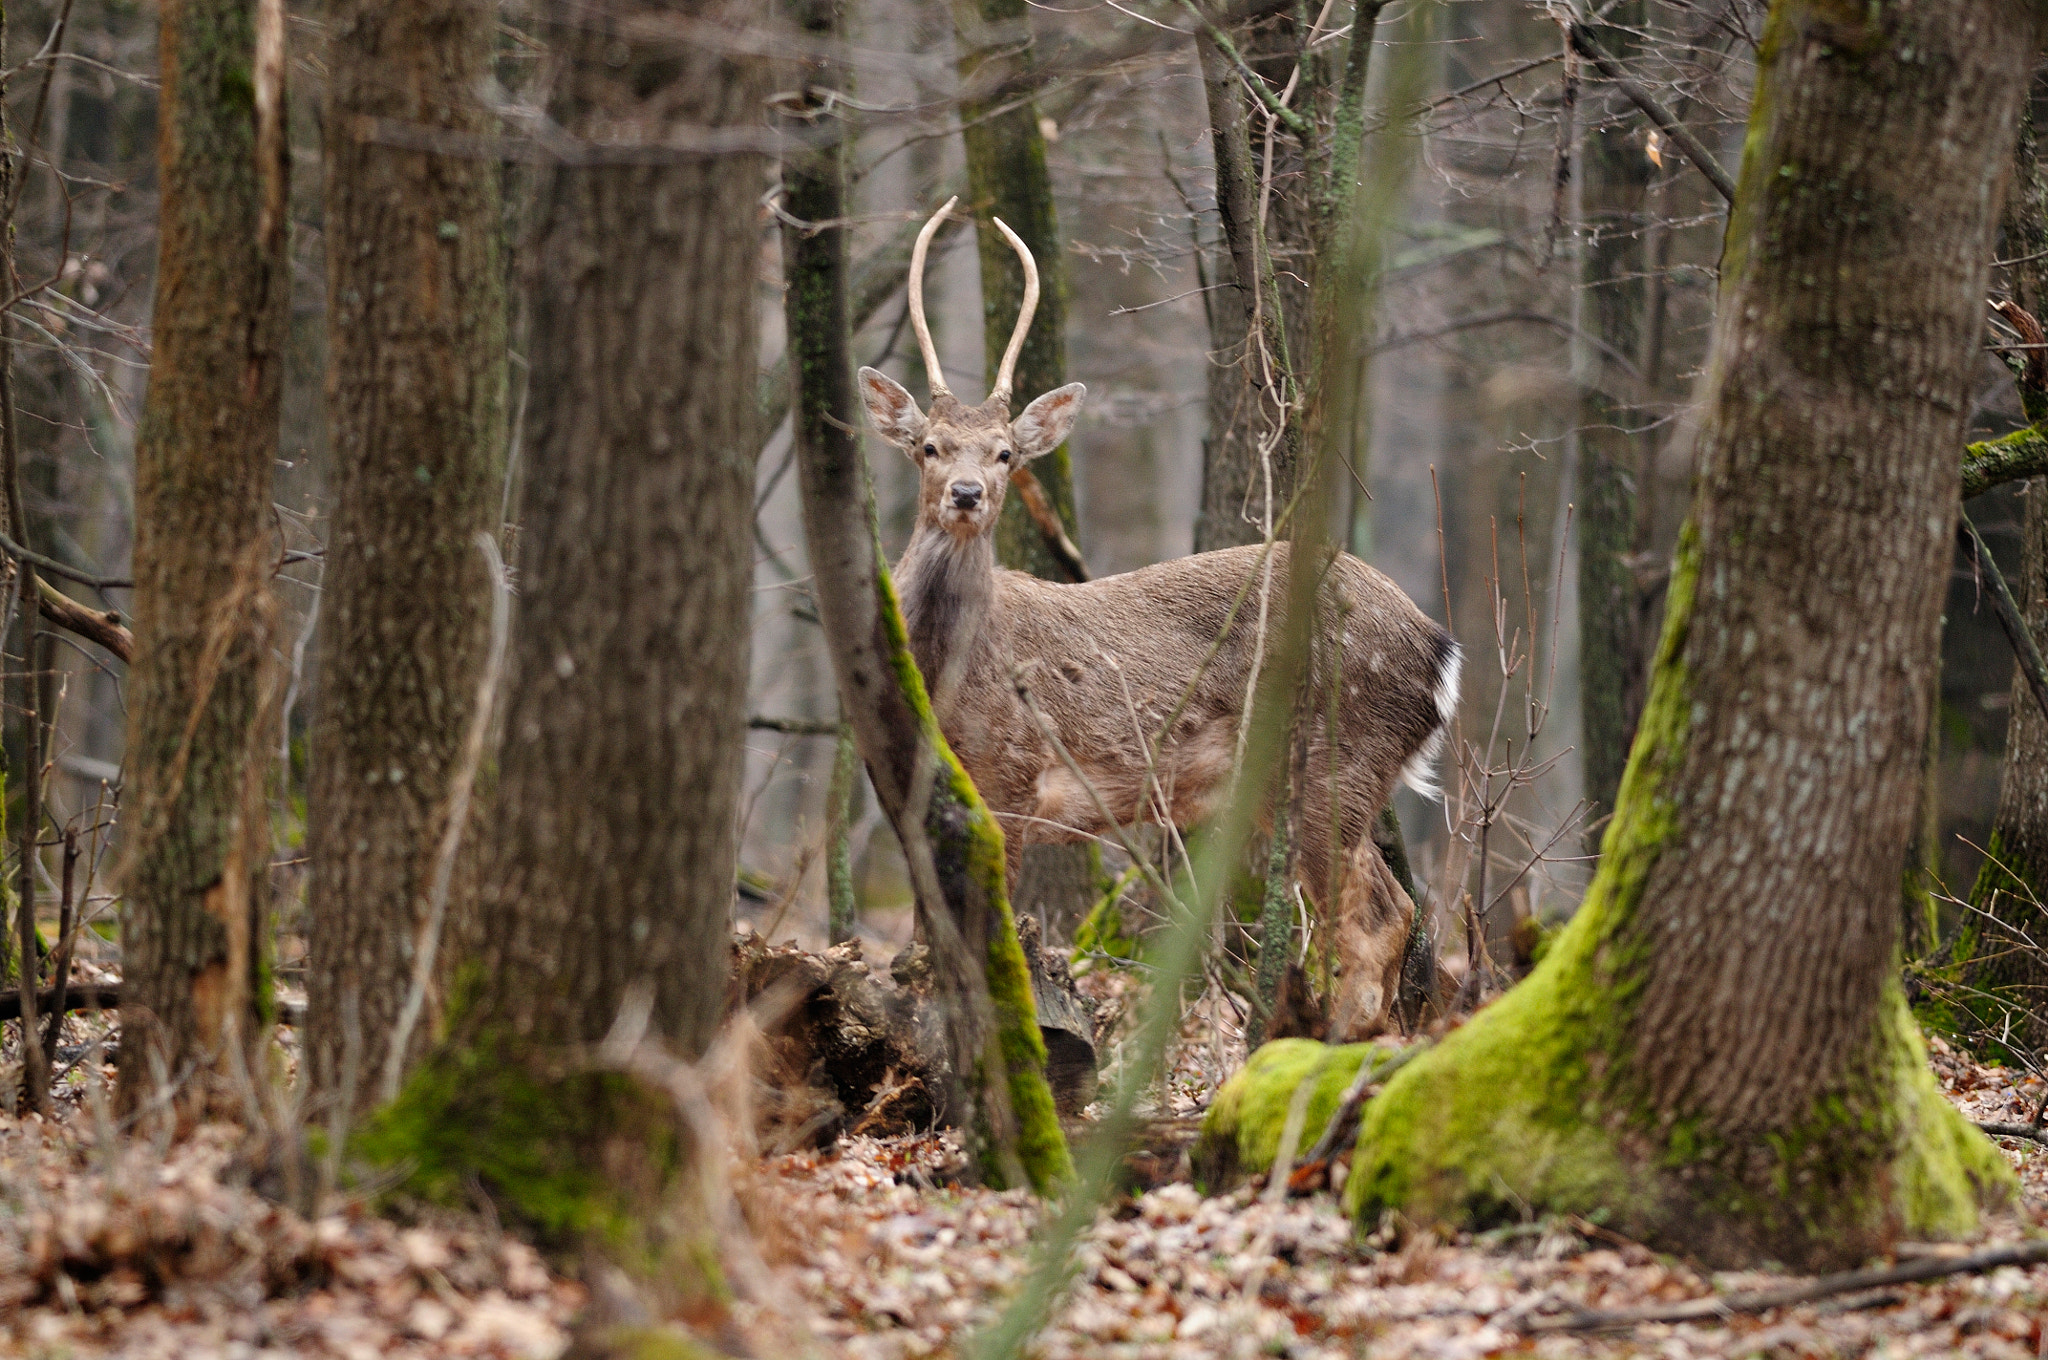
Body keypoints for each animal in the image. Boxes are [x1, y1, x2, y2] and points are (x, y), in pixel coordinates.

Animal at [856, 199, 1466, 1032]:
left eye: (1007, 452)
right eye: (928, 446)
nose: (968, 493)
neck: (944, 675)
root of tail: (1438, 651)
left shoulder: (1012, 775)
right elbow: (928, 933)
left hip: (1338, 758)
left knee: (1381, 915)